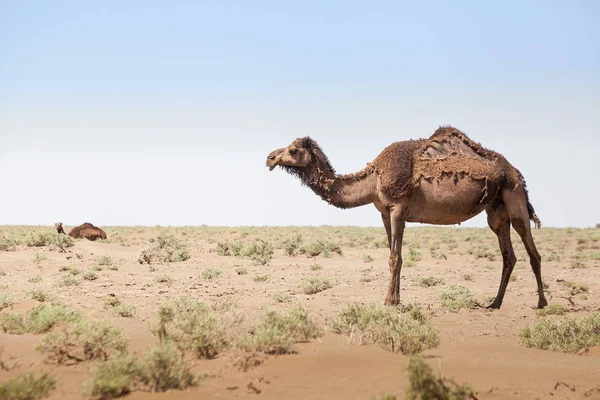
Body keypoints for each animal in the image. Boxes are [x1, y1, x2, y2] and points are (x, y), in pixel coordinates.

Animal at [268, 126, 548, 310]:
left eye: (293, 149)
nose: (269, 158)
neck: (375, 178)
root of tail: (515, 171)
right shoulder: (384, 213)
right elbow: (394, 256)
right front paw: (397, 298)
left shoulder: (398, 210)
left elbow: (396, 257)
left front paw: (389, 301)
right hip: (496, 211)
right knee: (508, 256)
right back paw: (495, 303)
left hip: (514, 199)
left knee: (532, 251)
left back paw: (541, 303)